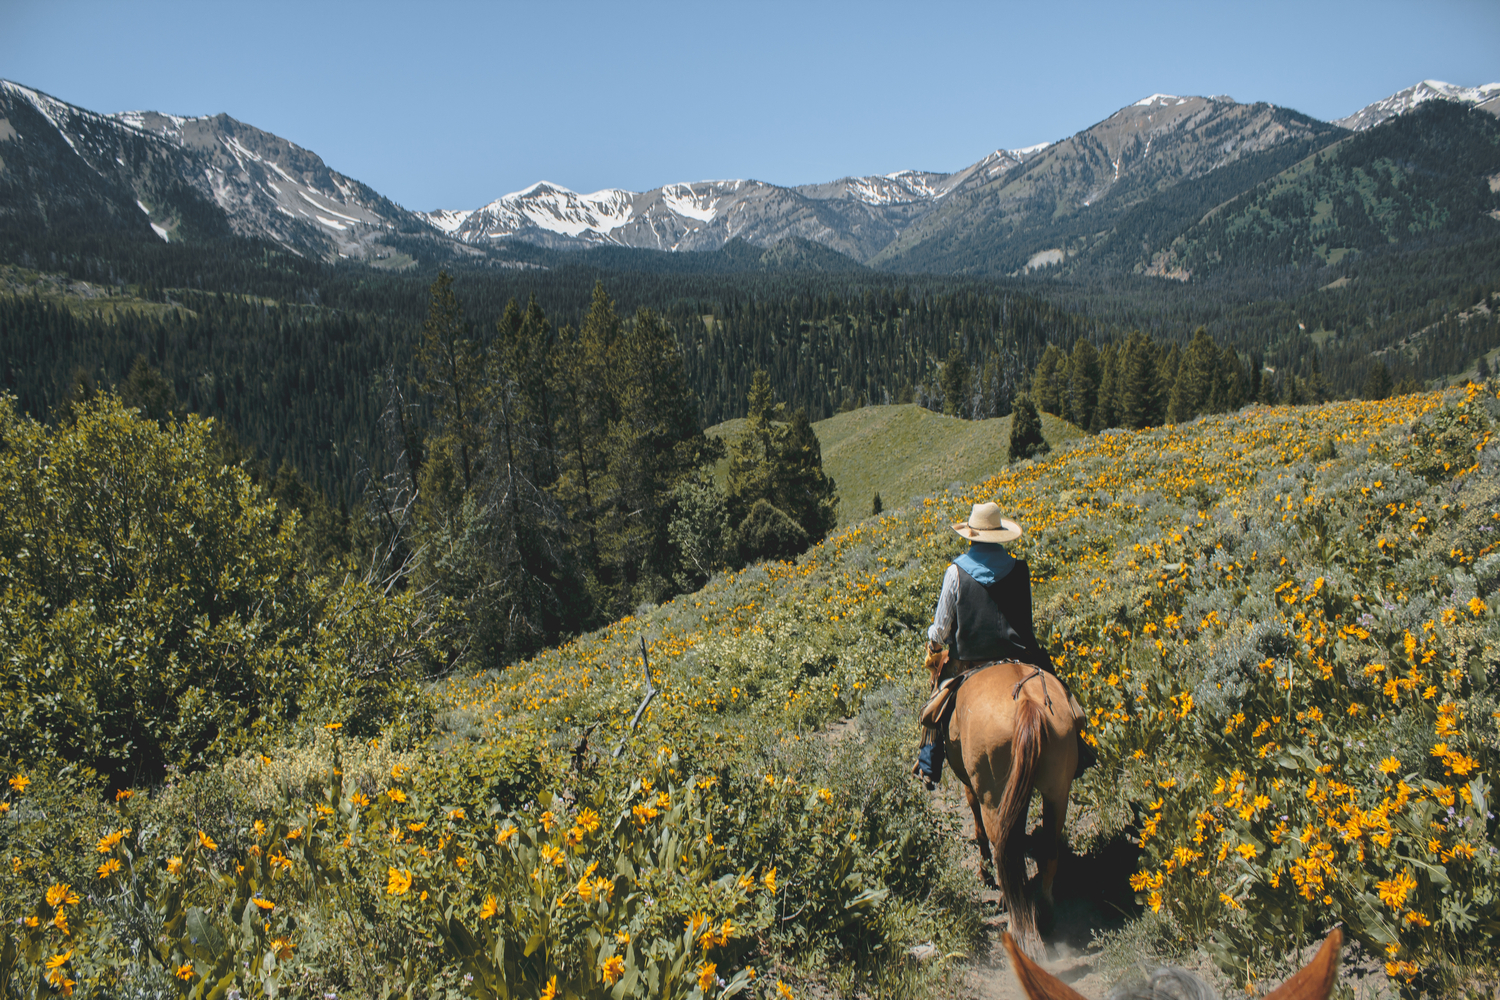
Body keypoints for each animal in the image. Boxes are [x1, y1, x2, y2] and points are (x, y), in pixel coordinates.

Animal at [924, 644, 1080, 959]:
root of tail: (1027, 704)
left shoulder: (972, 787)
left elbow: (978, 827)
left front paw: (983, 874)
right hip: (1058, 790)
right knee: (1047, 849)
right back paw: (1045, 916)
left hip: (992, 793)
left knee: (1004, 849)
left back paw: (1014, 917)